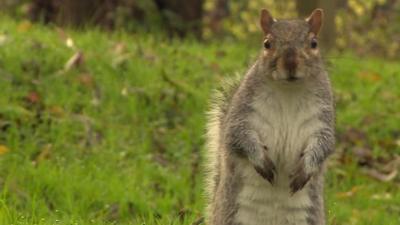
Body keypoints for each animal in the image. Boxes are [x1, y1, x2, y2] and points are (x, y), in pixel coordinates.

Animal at [206, 8, 334, 225]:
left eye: (314, 43)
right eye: (267, 43)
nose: (290, 62)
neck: (288, 90)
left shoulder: (322, 119)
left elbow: (324, 145)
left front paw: (305, 169)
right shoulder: (242, 113)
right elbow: (237, 136)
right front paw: (261, 161)